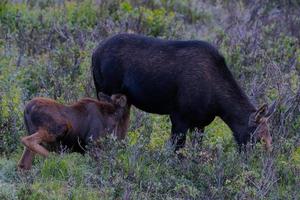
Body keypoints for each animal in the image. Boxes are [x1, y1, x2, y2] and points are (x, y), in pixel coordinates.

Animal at [92, 33, 276, 152]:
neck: (219, 105)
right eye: (260, 139)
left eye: (270, 138)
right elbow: (177, 151)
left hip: (124, 100)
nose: (264, 164)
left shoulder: (200, 123)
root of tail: (94, 54)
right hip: (105, 91)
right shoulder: (179, 116)